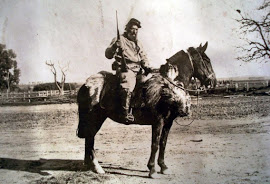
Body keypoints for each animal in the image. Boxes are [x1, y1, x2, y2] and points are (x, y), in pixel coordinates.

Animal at [77, 42, 216, 178]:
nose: (213, 82)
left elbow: (163, 143)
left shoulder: (168, 122)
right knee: (90, 138)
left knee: (88, 139)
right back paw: (97, 167)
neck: (168, 86)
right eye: (206, 60)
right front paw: (152, 169)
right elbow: (155, 144)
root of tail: (86, 84)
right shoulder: (158, 121)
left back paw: (89, 165)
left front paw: (163, 167)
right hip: (95, 118)